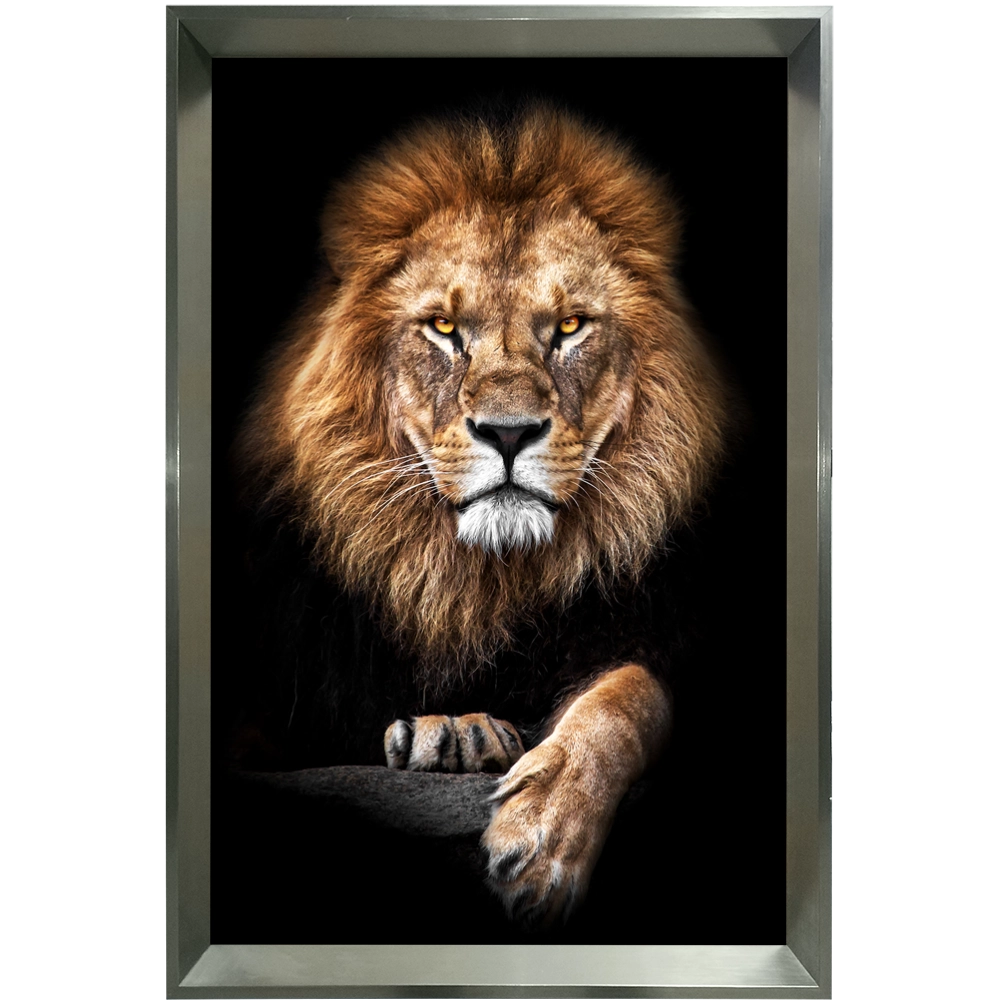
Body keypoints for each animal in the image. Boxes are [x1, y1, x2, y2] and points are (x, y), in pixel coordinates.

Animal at [234, 104, 730, 929]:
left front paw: (545, 836)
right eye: (442, 329)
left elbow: (629, 696)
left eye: (570, 327)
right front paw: (453, 734)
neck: (477, 581)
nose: (507, 431)